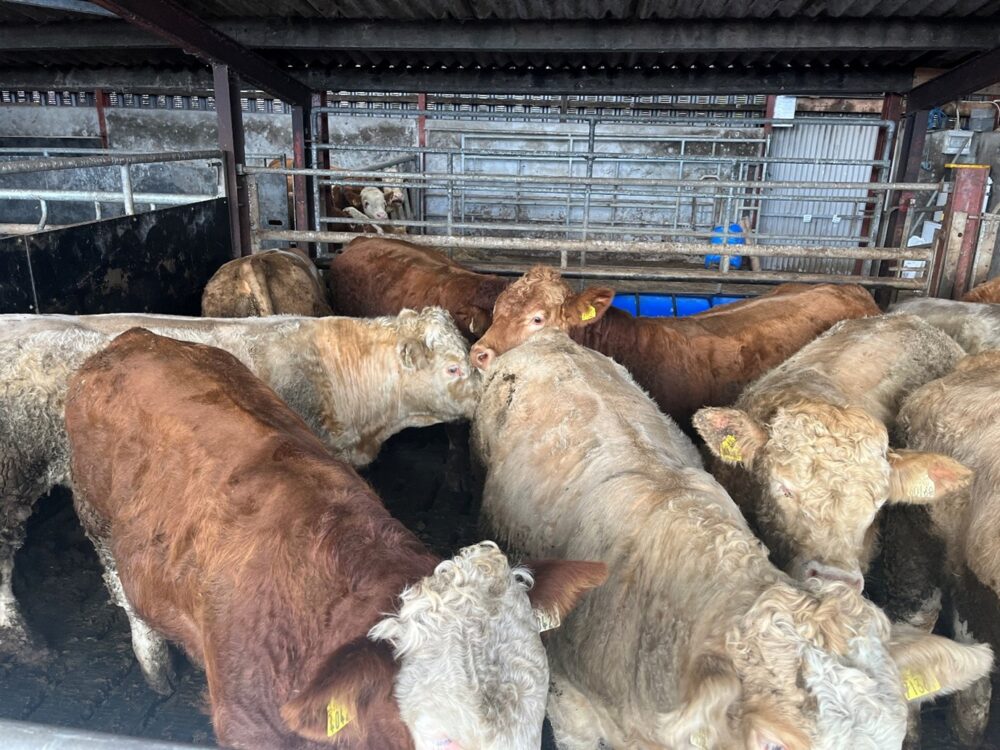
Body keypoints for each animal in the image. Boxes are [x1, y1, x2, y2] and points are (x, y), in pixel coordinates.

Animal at [65, 328, 606, 750]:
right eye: (445, 739)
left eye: (537, 719)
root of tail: (136, 338)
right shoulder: (244, 726)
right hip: (96, 521)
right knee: (126, 595)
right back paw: (155, 668)